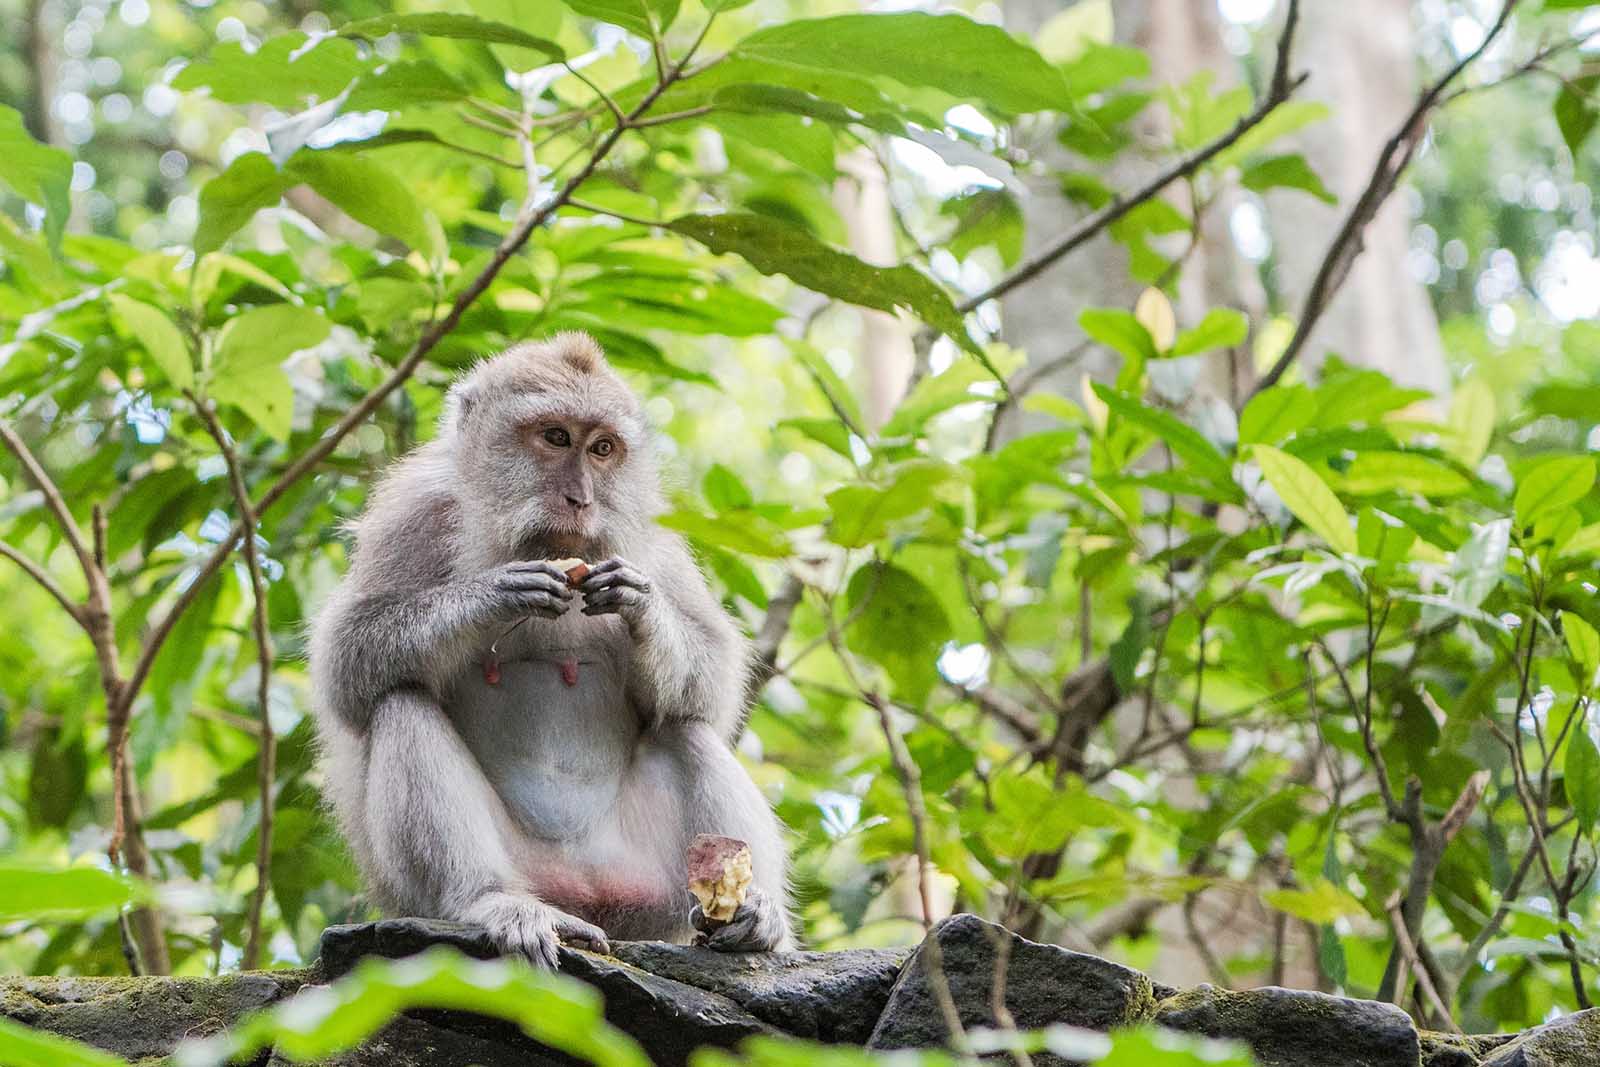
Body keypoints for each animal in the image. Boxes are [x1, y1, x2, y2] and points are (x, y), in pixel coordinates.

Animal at [307, 334, 793, 966]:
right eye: (556, 437)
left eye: (603, 448)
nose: (580, 498)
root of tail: (580, 894)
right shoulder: (414, 514)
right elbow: (347, 661)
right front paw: (493, 595)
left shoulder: (652, 539)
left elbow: (712, 679)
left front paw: (639, 606)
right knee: (401, 702)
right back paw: (490, 901)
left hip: (647, 892)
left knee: (685, 727)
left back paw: (754, 915)